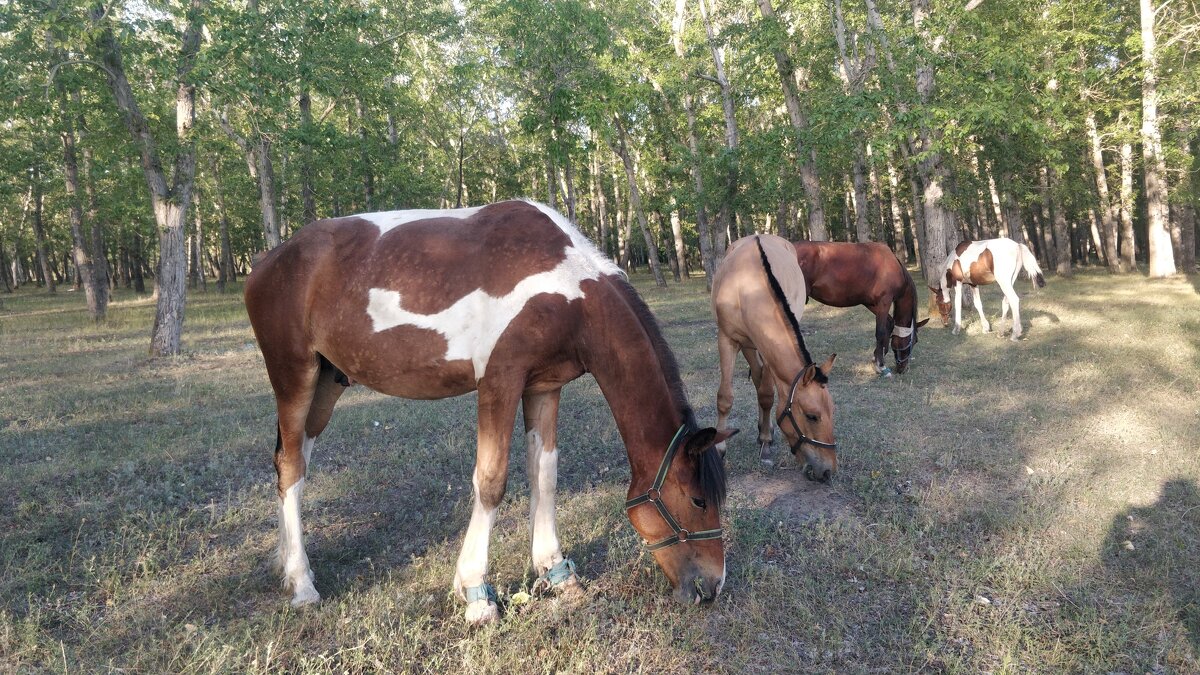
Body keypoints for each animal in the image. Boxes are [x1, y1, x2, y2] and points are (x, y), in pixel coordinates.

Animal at [243, 198, 729, 619]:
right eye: (698, 500)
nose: (712, 587)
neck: (570, 291)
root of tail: (267, 262)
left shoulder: (544, 386)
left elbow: (545, 476)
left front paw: (556, 572)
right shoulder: (499, 382)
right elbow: (491, 482)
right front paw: (476, 593)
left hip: (328, 382)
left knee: (292, 463)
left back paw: (289, 566)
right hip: (295, 375)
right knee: (291, 465)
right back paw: (303, 583)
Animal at [705, 235, 840, 473]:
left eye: (832, 410)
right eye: (812, 416)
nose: (827, 471)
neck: (746, 288)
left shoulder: (766, 349)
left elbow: (767, 395)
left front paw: (766, 441)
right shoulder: (727, 340)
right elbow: (725, 397)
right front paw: (720, 448)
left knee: (761, 382)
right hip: (748, 346)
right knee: (757, 378)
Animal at [792, 240, 931, 372]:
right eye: (914, 341)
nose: (903, 368)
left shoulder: (871, 303)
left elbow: (889, 323)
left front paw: (877, 357)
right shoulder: (884, 302)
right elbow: (880, 331)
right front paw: (880, 365)